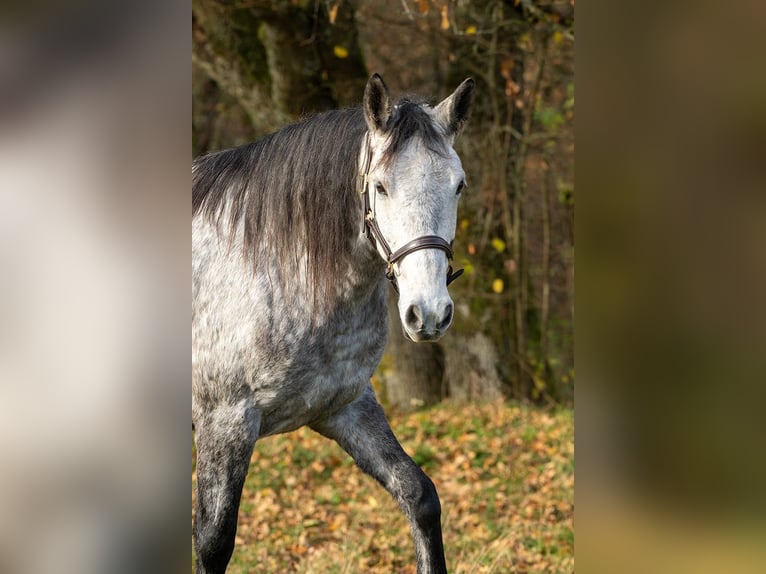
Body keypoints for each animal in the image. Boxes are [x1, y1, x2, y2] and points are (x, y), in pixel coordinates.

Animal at [192, 73, 474, 574]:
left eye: (458, 185)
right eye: (380, 187)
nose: (429, 313)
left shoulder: (346, 405)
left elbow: (418, 494)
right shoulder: (224, 422)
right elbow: (213, 543)